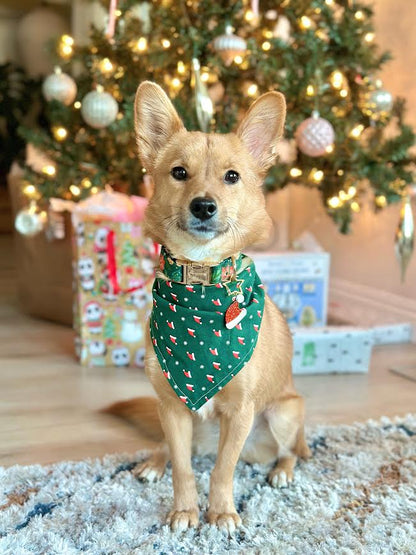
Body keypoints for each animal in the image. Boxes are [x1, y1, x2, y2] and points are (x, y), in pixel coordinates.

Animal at [106, 82, 308, 536]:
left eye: (232, 176)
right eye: (179, 172)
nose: (203, 206)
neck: (201, 284)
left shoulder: (240, 413)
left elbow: (221, 470)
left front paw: (222, 513)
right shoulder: (173, 408)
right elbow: (184, 470)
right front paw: (185, 511)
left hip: (284, 412)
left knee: (290, 451)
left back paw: (282, 471)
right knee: (169, 448)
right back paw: (153, 461)